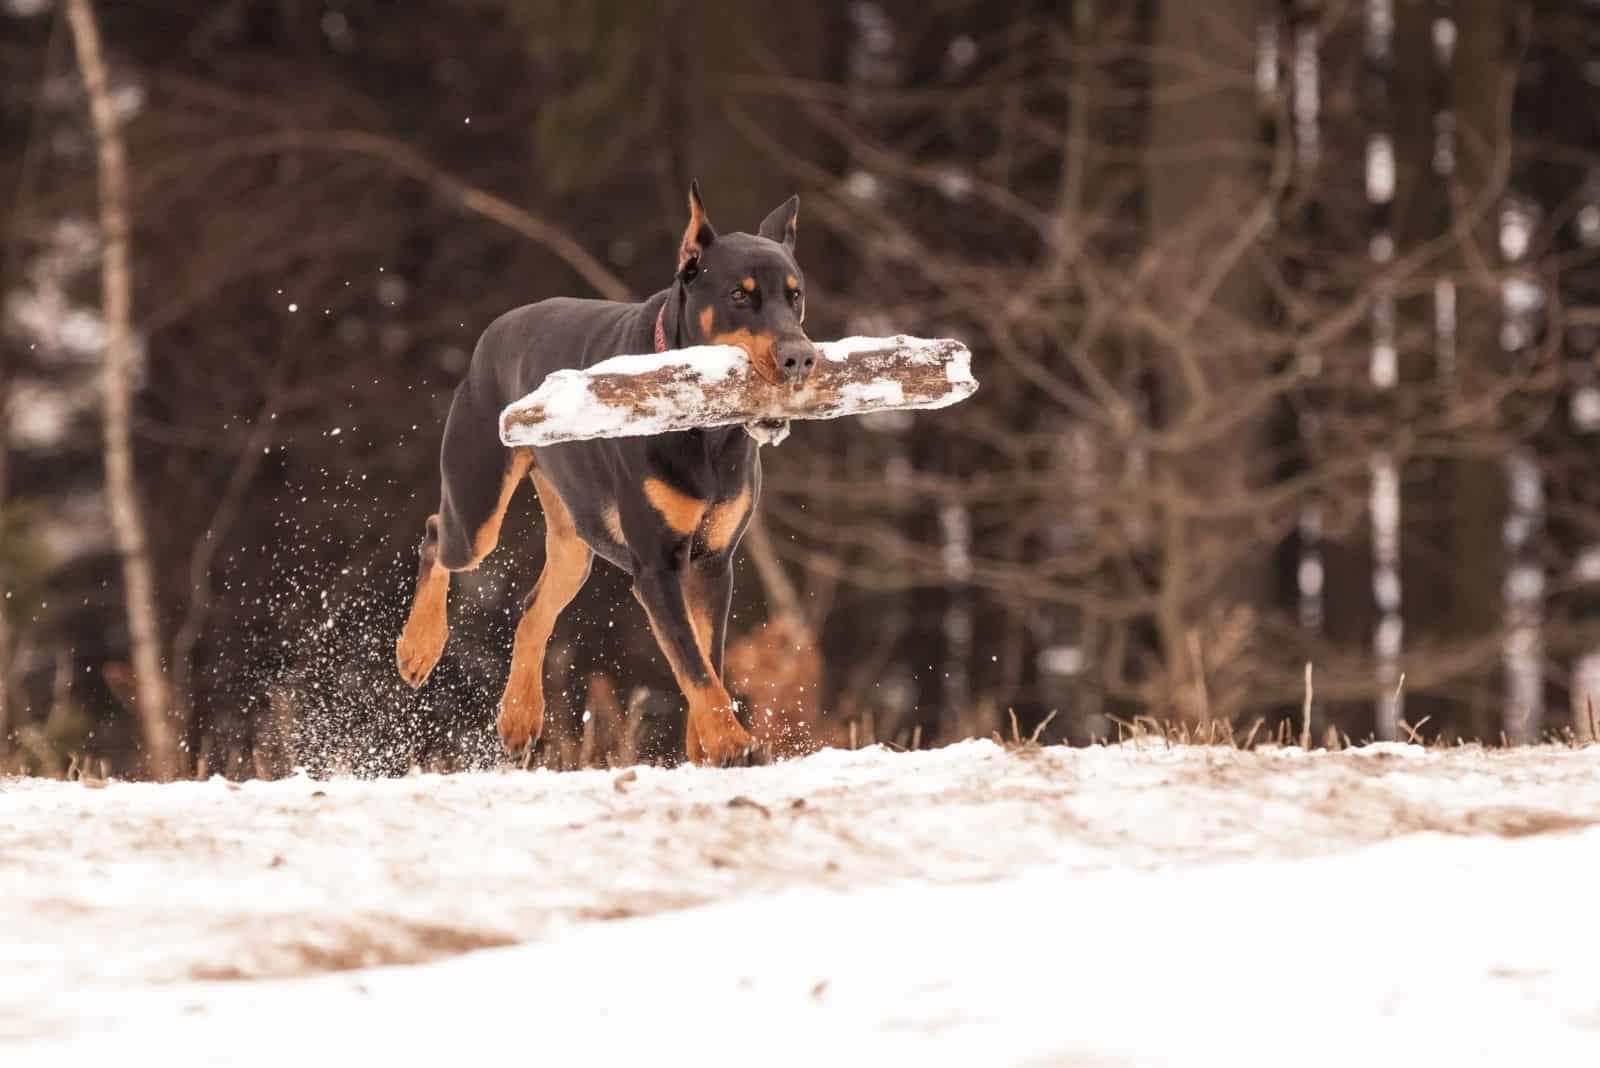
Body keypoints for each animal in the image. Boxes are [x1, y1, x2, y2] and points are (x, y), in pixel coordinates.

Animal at [388, 185, 812, 767]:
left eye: (796, 296)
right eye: (739, 296)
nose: (801, 358)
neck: (705, 428)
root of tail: (495, 329)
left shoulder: (713, 563)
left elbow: (708, 657)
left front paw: (706, 750)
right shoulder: (656, 567)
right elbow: (694, 664)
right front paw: (733, 745)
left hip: (575, 539)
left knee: (533, 608)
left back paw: (519, 717)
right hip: (478, 505)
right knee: (438, 536)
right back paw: (419, 647)